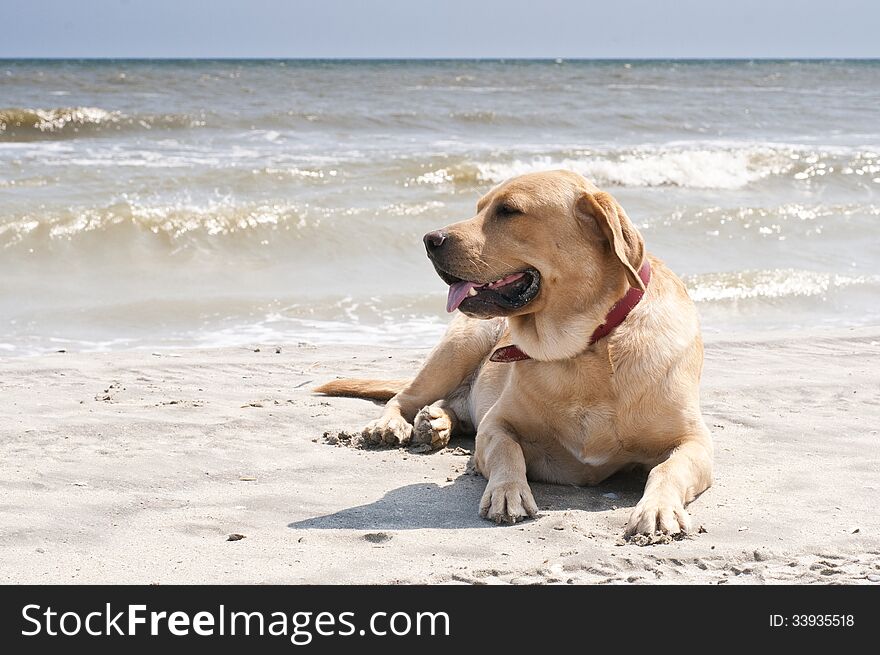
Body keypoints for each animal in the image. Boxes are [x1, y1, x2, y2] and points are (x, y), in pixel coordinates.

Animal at [312, 169, 712, 540]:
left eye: (508, 211)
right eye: (479, 208)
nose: (429, 240)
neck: (586, 348)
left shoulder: (696, 443)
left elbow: (665, 469)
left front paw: (657, 509)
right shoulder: (497, 423)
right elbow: (508, 449)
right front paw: (508, 492)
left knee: (452, 408)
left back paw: (436, 423)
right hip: (460, 346)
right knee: (405, 397)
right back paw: (393, 425)